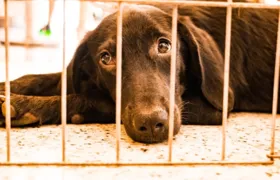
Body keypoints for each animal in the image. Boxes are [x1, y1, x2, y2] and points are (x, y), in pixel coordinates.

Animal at [0, 3, 278, 143]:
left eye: (164, 46)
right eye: (106, 58)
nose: (151, 124)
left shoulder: (216, 107)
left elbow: (90, 99)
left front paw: (24, 105)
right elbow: (48, 77)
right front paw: (10, 88)